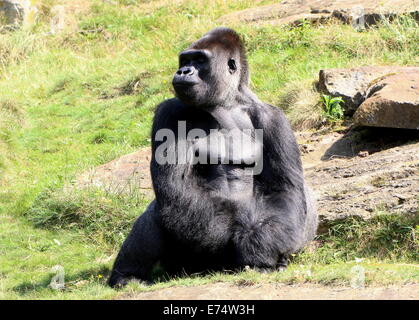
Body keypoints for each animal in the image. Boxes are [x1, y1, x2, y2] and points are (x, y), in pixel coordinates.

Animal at [108, 27, 318, 288]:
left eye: (199, 60)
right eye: (185, 60)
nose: (183, 71)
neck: (225, 104)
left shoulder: (274, 119)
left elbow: (282, 189)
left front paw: (258, 251)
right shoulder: (170, 111)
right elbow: (176, 187)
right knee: (163, 209)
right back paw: (127, 276)